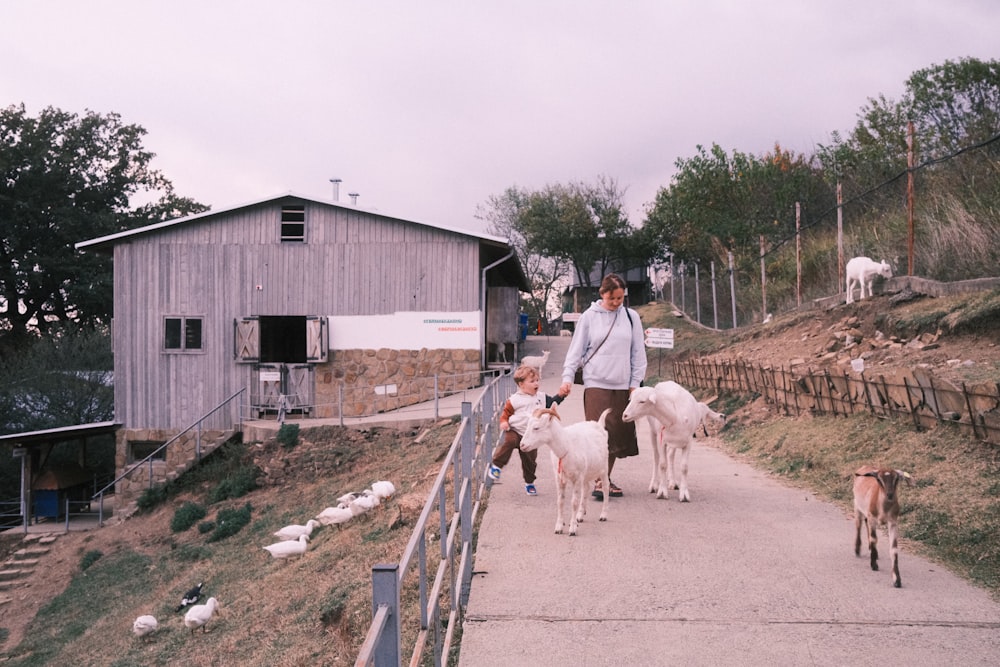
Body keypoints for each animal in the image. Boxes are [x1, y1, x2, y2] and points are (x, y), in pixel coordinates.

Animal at [520, 404, 612, 536]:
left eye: (536, 428)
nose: (522, 445)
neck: (566, 446)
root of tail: (599, 424)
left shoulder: (577, 477)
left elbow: (574, 502)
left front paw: (572, 528)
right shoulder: (559, 478)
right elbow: (560, 501)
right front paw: (559, 527)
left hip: (604, 467)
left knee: (605, 487)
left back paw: (603, 515)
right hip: (586, 473)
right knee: (586, 488)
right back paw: (580, 515)